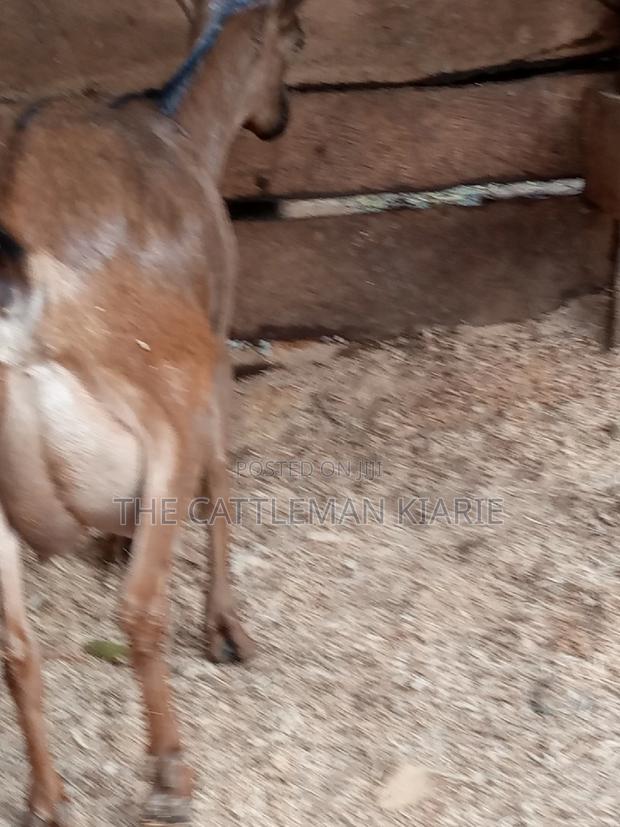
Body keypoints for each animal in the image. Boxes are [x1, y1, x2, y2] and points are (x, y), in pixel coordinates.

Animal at [0, 0, 304, 823]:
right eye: (296, 39)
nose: (280, 118)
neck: (184, 133)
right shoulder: (220, 330)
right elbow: (224, 474)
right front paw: (227, 628)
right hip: (165, 417)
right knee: (140, 607)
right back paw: (170, 773)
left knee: (14, 644)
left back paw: (46, 798)